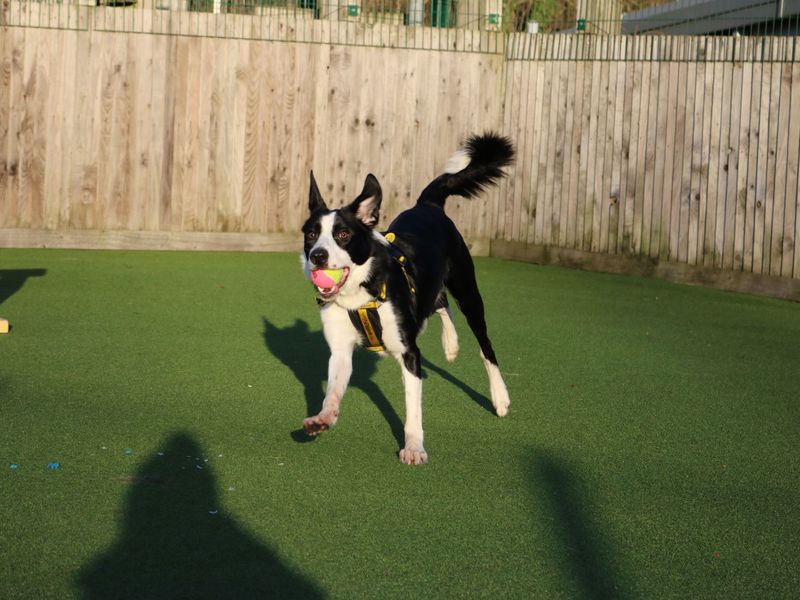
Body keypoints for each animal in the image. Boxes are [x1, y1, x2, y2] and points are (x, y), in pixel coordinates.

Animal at [298, 134, 512, 466]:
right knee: (438, 302)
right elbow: (332, 390)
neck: (361, 292)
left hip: (468, 292)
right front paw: (323, 418)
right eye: (311, 234)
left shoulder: (410, 354)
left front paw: (413, 447)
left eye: (344, 234)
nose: (318, 256)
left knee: (485, 345)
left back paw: (499, 396)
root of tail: (427, 204)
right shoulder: (341, 350)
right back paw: (451, 345)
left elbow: (413, 408)